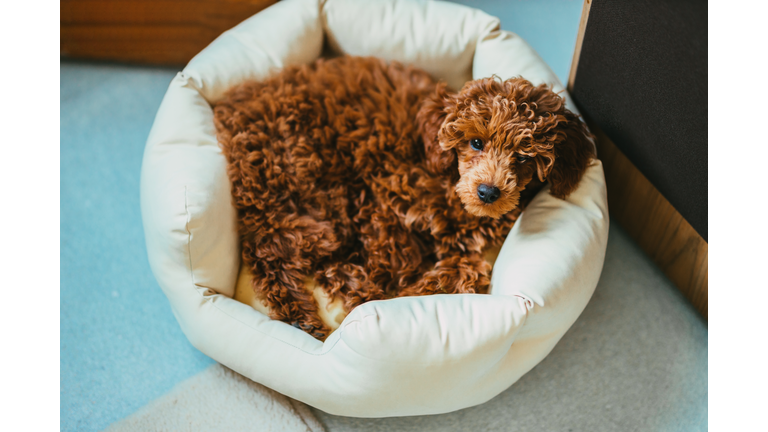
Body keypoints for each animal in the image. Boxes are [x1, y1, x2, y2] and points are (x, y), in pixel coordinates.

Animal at [212, 55, 592, 340]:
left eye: (524, 158)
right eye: (476, 142)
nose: (488, 192)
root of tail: (229, 110)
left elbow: (466, 271)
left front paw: (420, 286)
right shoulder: (382, 199)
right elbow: (399, 261)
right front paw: (378, 293)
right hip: (308, 181)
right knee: (271, 250)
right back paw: (306, 312)